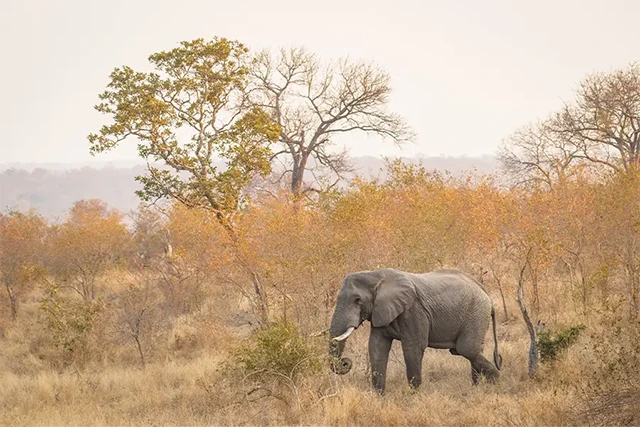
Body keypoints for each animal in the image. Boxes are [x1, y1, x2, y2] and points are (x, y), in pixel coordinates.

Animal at [328, 268, 502, 394]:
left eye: (357, 300)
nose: (345, 362)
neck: (374, 275)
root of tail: (485, 292)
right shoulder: (381, 311)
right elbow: (377, 347)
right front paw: (378, 397)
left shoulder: (413, 311)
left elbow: (413, 348)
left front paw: (414, 396)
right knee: (472, 350)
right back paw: (478, 387)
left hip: (476, 312)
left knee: (466, 349)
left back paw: (495, 381)